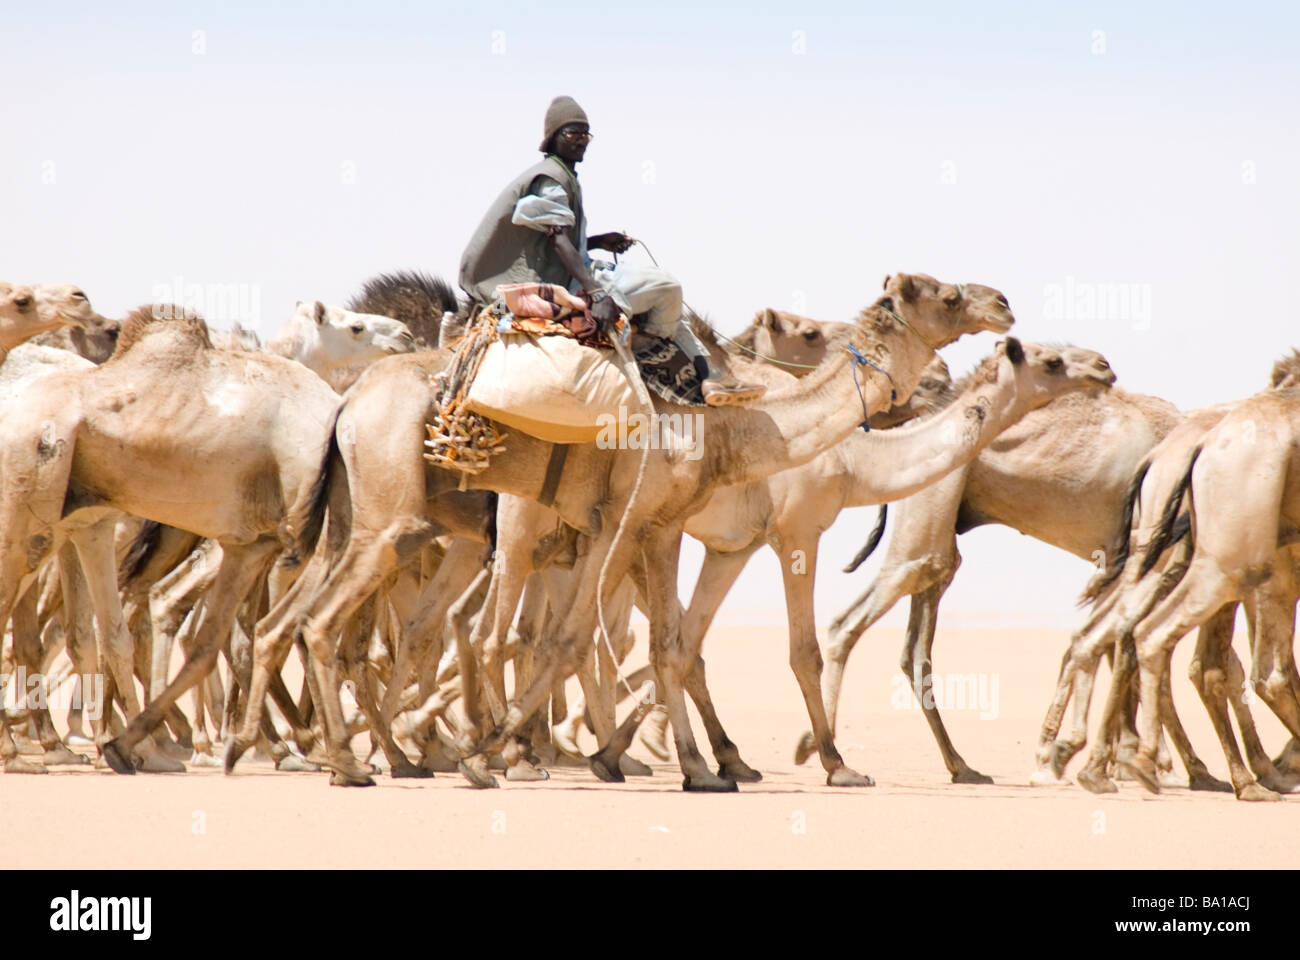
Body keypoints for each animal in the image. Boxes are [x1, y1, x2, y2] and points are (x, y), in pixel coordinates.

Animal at [226, 269, 1013, 785]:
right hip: (405, 526)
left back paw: (349, 752)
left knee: (331, 625)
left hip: (370, 525)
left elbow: (660, 645)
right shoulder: (686, 528)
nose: (1003, 306)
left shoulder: (657, 531)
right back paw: (365, 758)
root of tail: (348, 403)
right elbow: (595, 643)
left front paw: (695, 765)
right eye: (945, 294)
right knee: (352, 627)